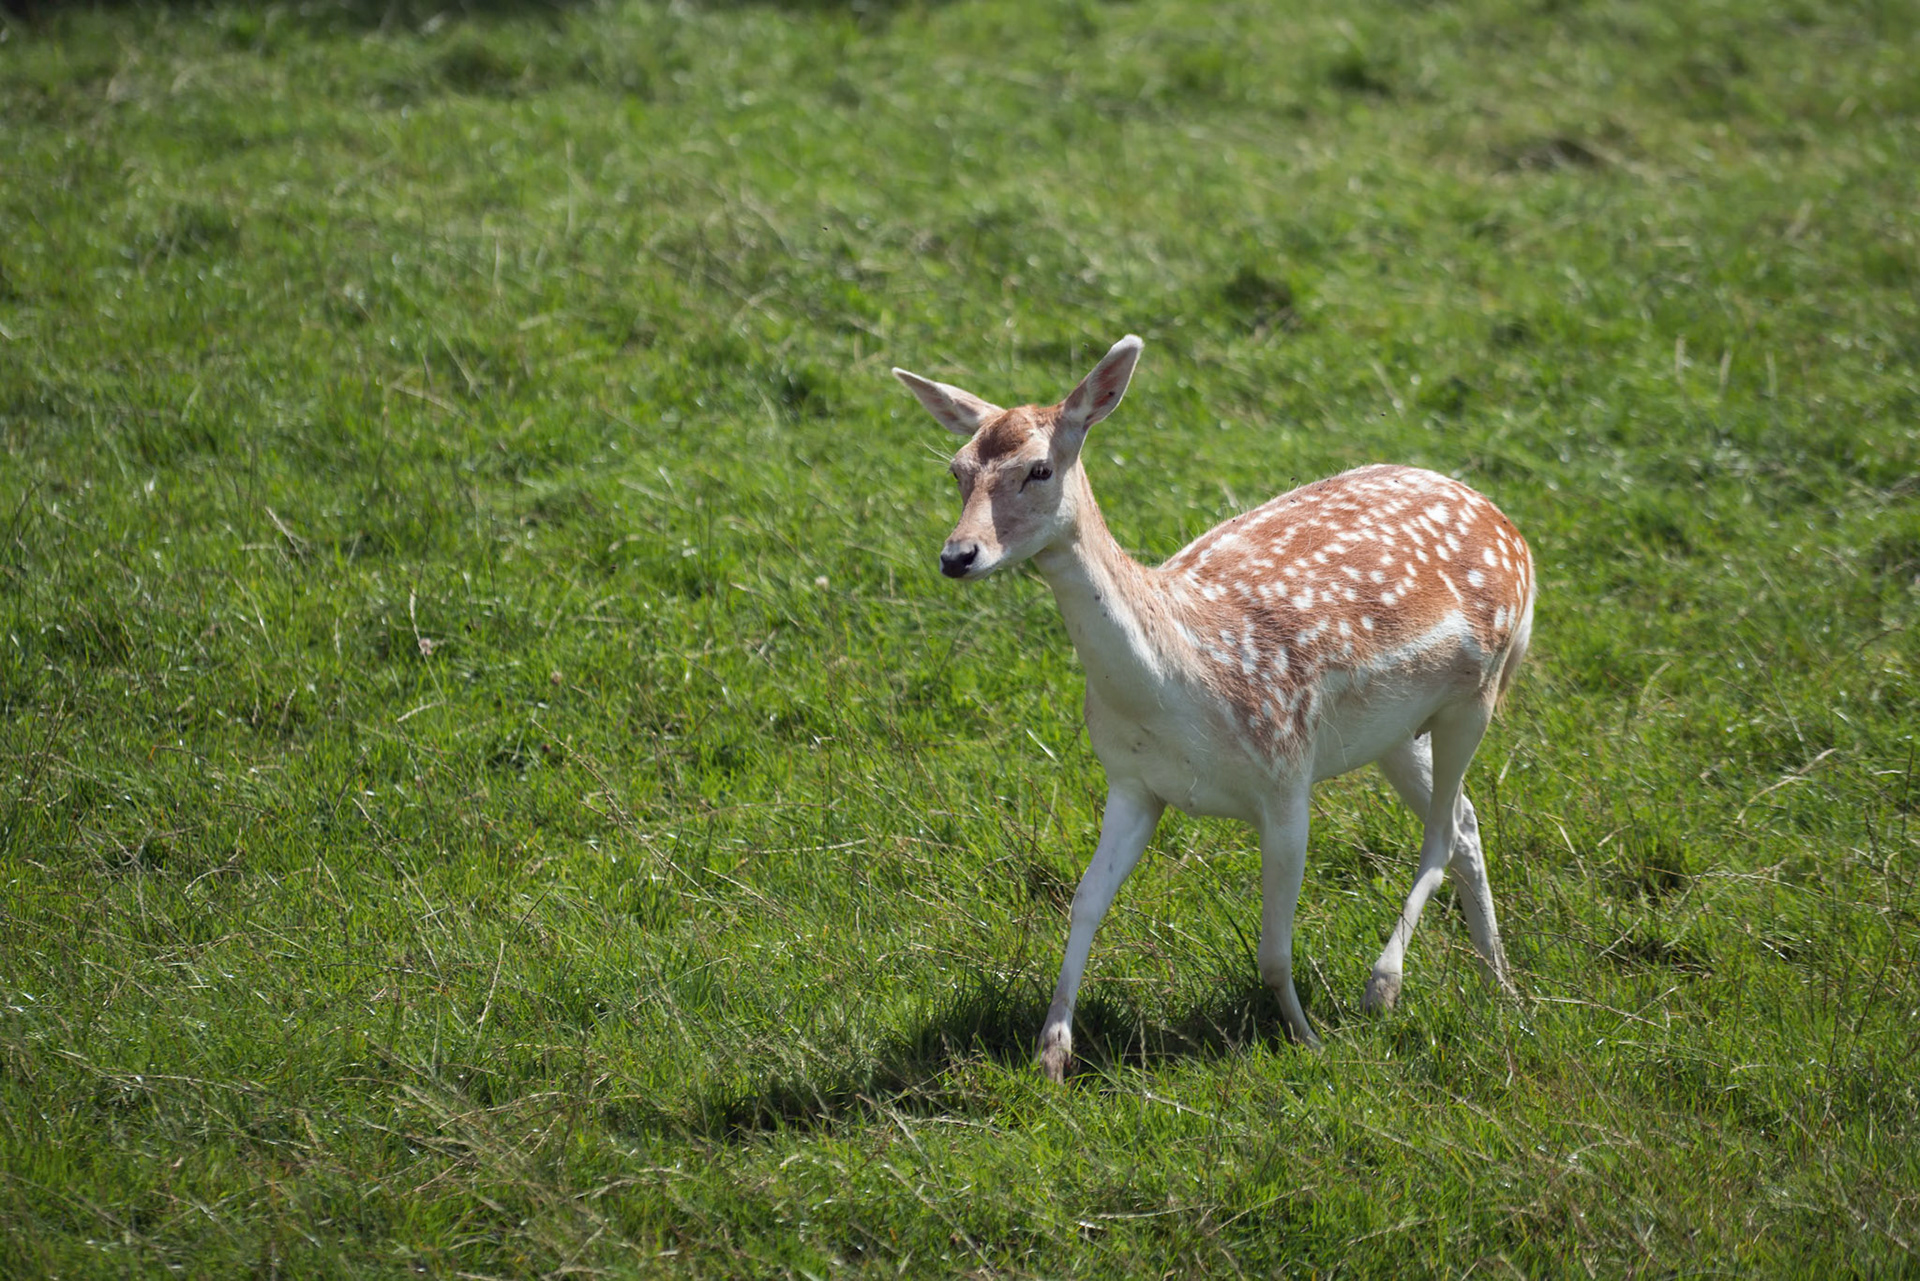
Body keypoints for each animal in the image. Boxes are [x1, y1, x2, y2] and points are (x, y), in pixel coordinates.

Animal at [892, 335, 1535, 1082]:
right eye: (957, 469)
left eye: (1039, 468)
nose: (957, 555)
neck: (1179, 688)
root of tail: (1509, 525)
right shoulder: (1132, 782)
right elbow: (1084, 902)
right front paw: (1051, 1054)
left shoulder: (1285, 777)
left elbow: (1272, 950)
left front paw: (1309, 1042)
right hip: (1396, 731)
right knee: (1466, 821)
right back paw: (1500, 984)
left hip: (1479, 691)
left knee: (1441, 830)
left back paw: (1385, 986)